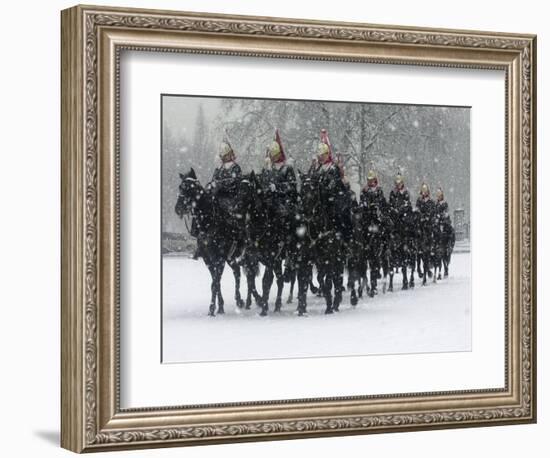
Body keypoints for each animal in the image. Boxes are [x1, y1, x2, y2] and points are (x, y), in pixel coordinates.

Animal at [176, 170, 247, 316]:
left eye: (190, 188)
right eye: (180, 187)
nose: (178, 208)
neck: (209, 223)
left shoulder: (219, 258)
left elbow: (215, 282)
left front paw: (212, 308)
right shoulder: (208, 259)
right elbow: (215, 281)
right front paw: (219, 306)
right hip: (230, 258)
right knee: (237, 272)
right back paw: (239, 300)